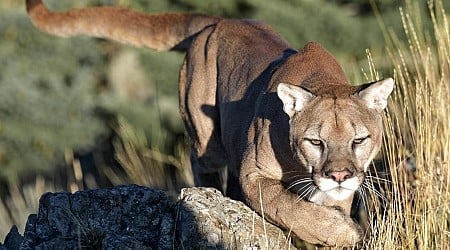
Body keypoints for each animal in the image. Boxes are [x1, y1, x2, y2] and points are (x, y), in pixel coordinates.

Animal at [27, 0, 394, 246]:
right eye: (315, 141)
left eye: (359, 140)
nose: (339, 176)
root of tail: (221, 21)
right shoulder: (253, 174)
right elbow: (286, 205)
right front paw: (344, 230)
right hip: (206, 137)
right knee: (201, 161)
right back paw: (207, 198)